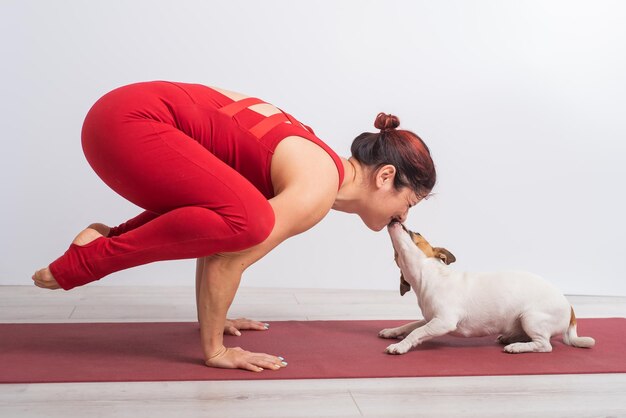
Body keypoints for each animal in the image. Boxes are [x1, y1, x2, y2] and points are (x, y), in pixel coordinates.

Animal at [378, 220, 592, 354]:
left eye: (416, 234)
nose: (394, 219)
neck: (430, 276)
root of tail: (570, 308)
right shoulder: (431, 319)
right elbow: (411, 325)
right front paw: (392, 331)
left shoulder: (443, 322)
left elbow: (417, 332)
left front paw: (400, 346)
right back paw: (511, 338)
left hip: (531, 318)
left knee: (544, 345)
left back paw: (517, 347)